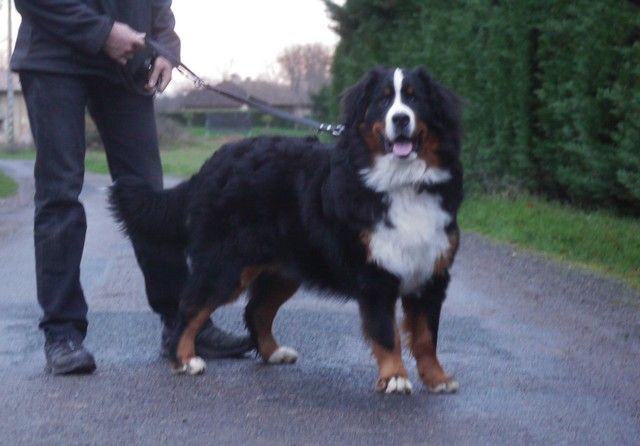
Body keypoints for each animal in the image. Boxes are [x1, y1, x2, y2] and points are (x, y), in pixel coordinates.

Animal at [109, 66, 463, 394]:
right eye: (383, 100)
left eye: (415, 98)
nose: (401, 119)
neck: (403, 183)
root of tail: (213, 164)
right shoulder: (374, 275)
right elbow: (387, 334)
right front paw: (395, 378)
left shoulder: (431, 273)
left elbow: (426, 336)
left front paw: (437, 378)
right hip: (225, 265)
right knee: (190, 306)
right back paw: (185, 359)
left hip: (283, 270)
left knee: (256, 311)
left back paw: (273, 352)